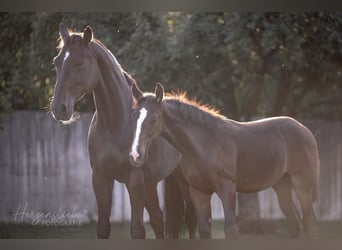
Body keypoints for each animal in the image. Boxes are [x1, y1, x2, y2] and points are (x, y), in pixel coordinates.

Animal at [49, 24, 196, 239]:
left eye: (79, 63)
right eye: (56, 62)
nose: (58, 108)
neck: (116, 124)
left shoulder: (133, 180)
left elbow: (137, 229)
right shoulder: (101, 178)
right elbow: (103, 227)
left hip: (184, 181)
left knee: (192, 218)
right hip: (151, 183)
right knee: (158, 219)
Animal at [129, 83, 320, 239]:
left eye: (154, 119)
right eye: (133, 117)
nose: (135, 155)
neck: (205, 144)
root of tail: (304, 130)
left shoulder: (227, 188)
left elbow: (231, 230)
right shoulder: (199, 192)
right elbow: (204, 230)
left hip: (302, 182)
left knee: (309, 221)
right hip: (282, 184)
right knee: (294, 221)